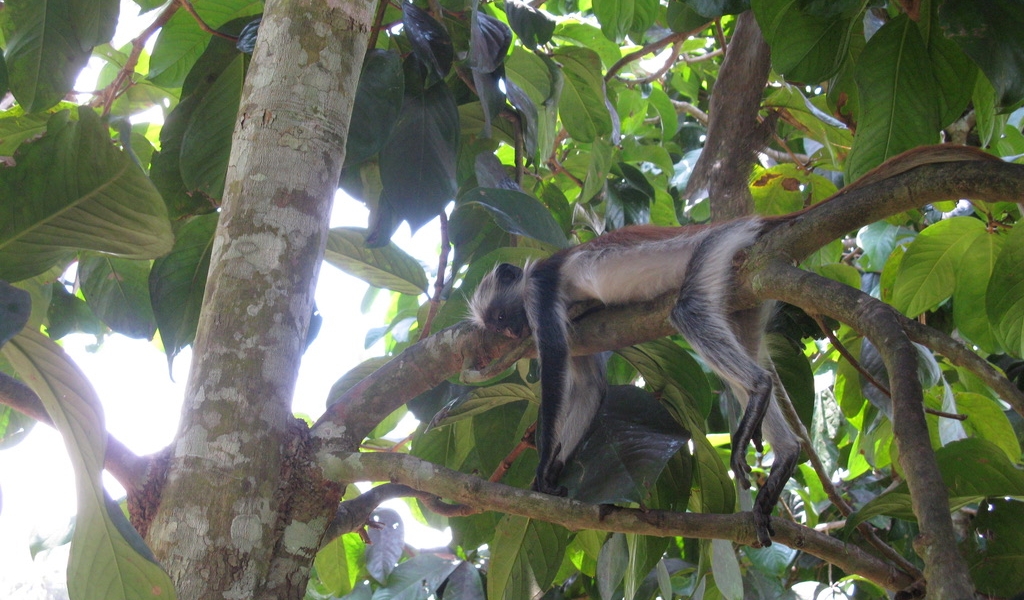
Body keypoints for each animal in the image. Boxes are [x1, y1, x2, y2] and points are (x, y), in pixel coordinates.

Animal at [466, 144, 1005, 547]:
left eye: (501, 317)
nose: (508, 336)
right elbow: (591, 385)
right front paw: (551, 475)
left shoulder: (540, 292)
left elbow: (557, 366)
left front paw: (541, 466)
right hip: (744, 297)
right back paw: (784, 452)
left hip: (718, 249)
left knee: (692, 314)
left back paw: (761, 390)